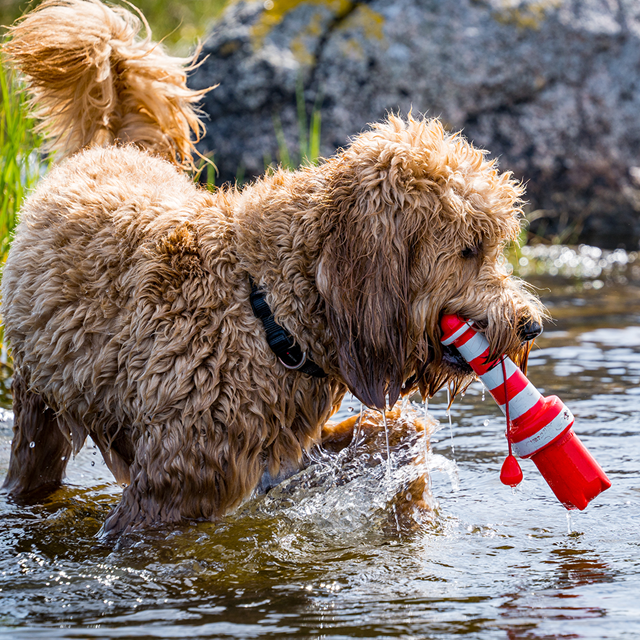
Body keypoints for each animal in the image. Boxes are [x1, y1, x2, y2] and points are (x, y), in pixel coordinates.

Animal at [0, 0, 544, 536]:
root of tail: (108, 149)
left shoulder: (283, 447)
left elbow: (397, 431)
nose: (530, 326)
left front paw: (411, 501)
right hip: (37, 404)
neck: (267, 307)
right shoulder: (171, 487)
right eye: (470, 248)